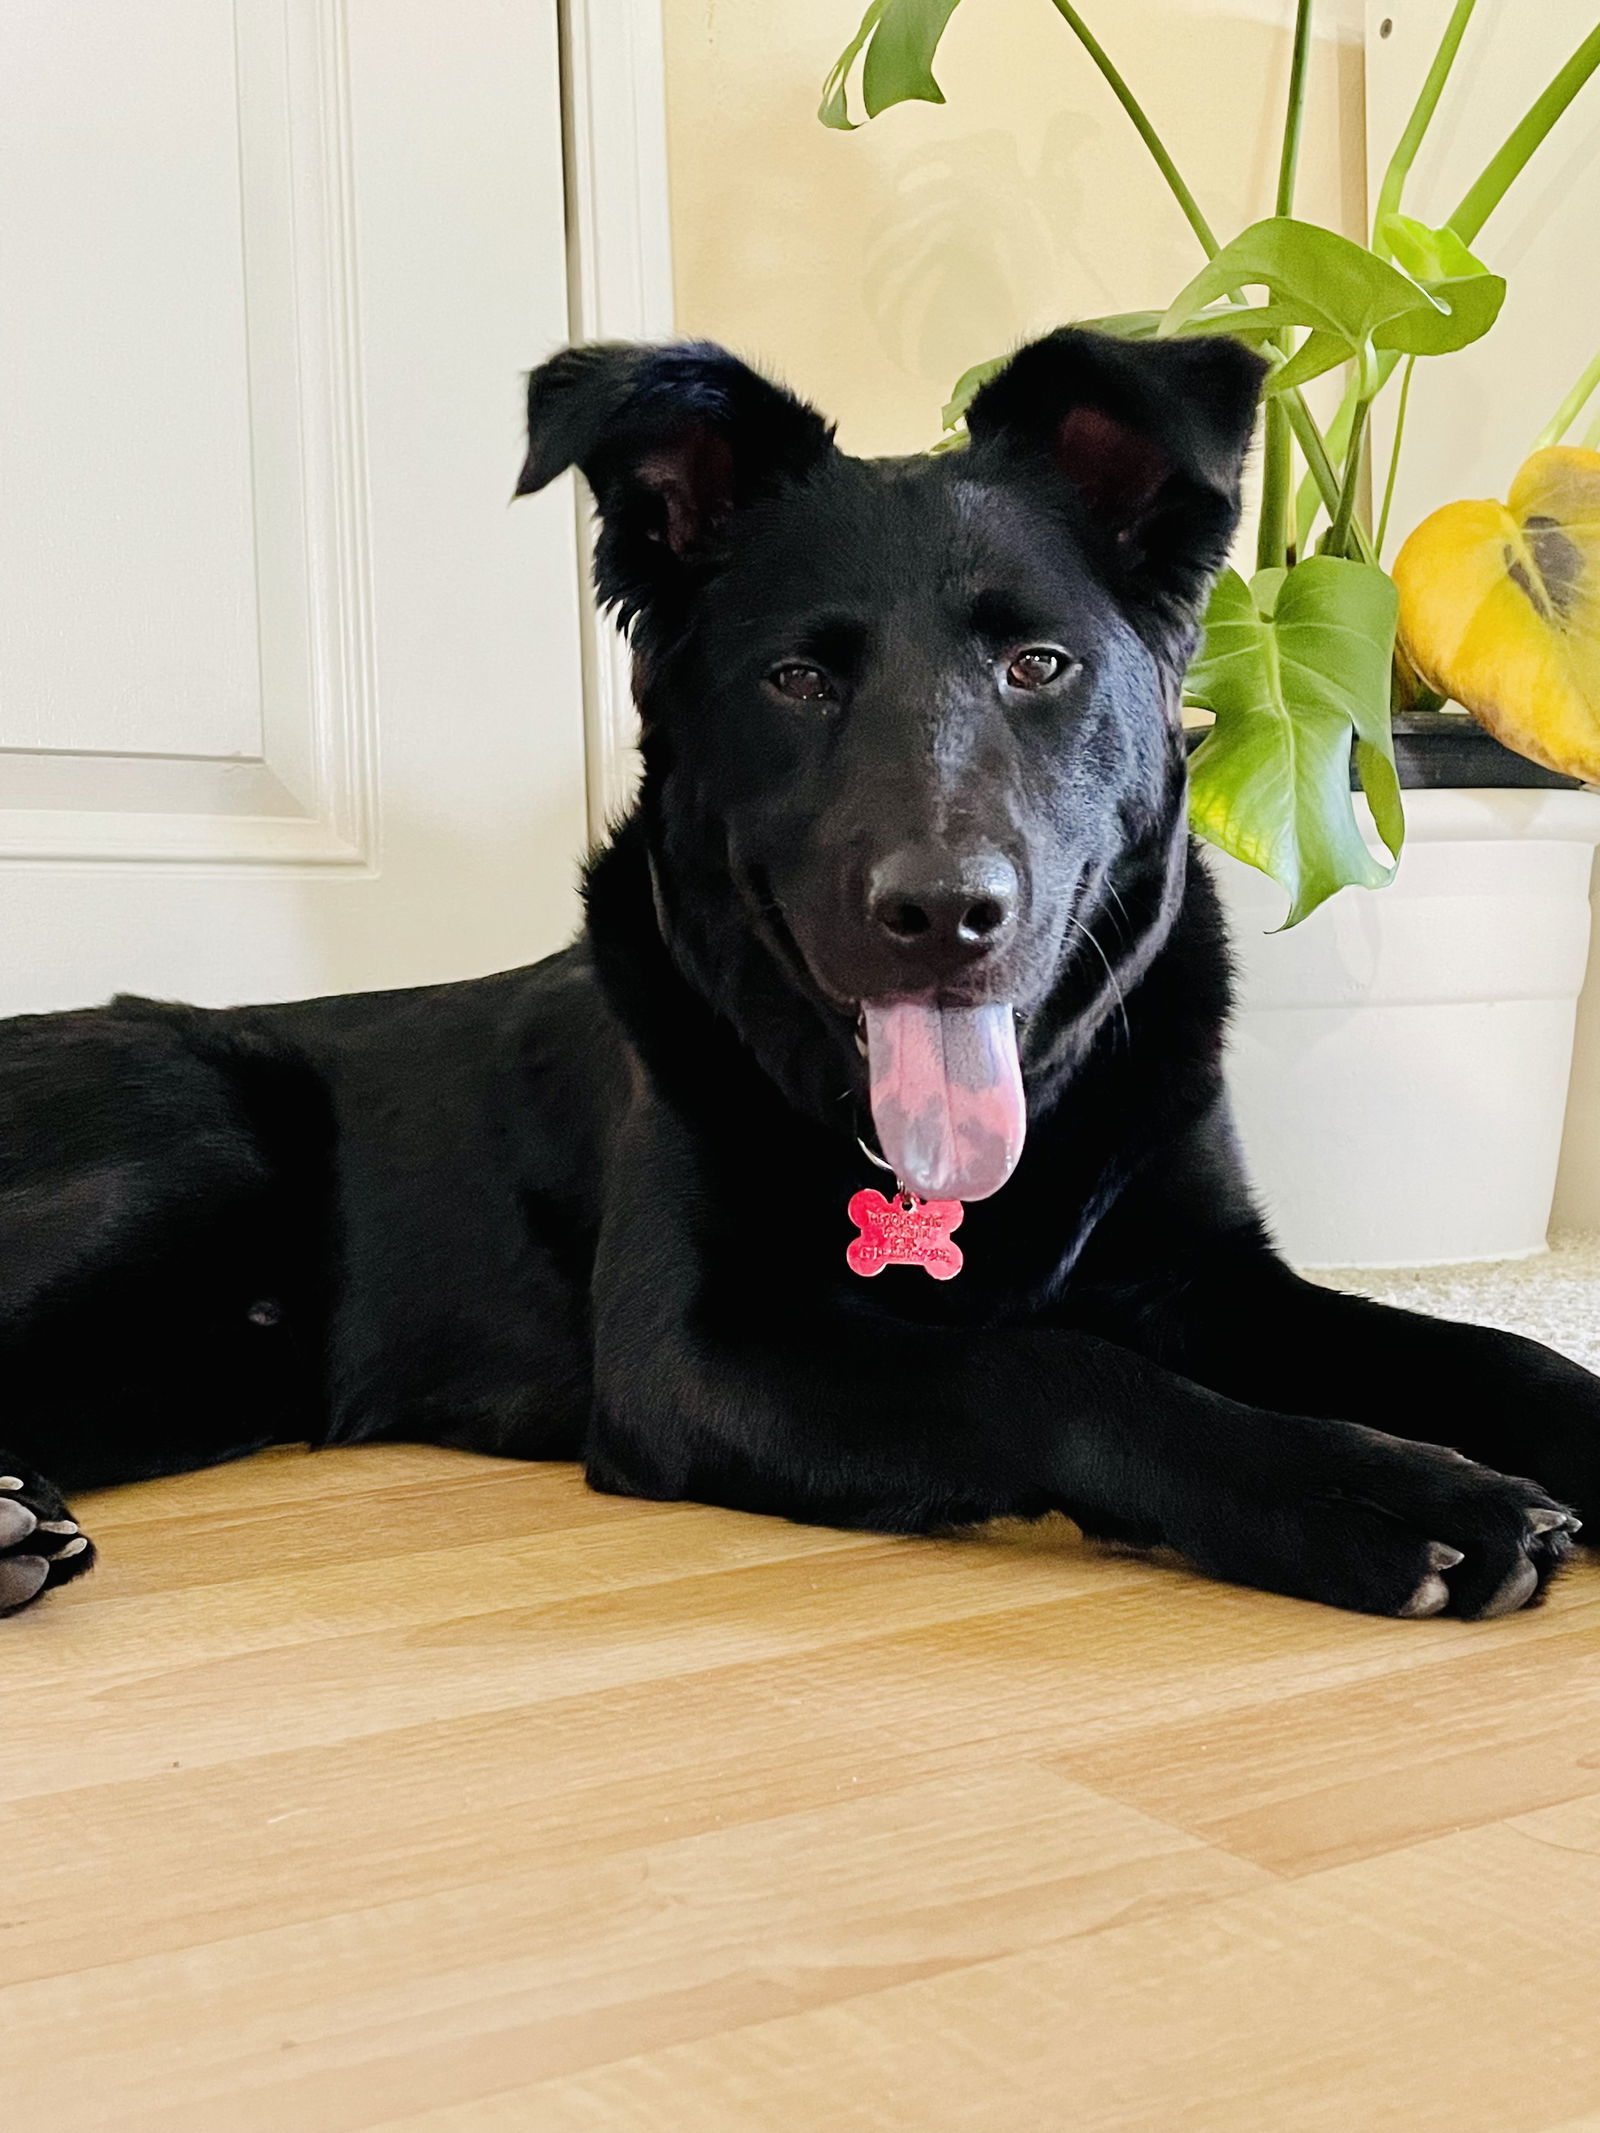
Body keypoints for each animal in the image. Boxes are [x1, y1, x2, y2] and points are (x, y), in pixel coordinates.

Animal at [0, 328, 1595, 1612]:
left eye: (1039, 665)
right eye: (797, 680)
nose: (944, 914)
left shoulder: (1211, 1277)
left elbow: (1491, 1357)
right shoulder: (705, 1354)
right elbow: (1047, 1365)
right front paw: (1378, 1490)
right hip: (203, 1152)